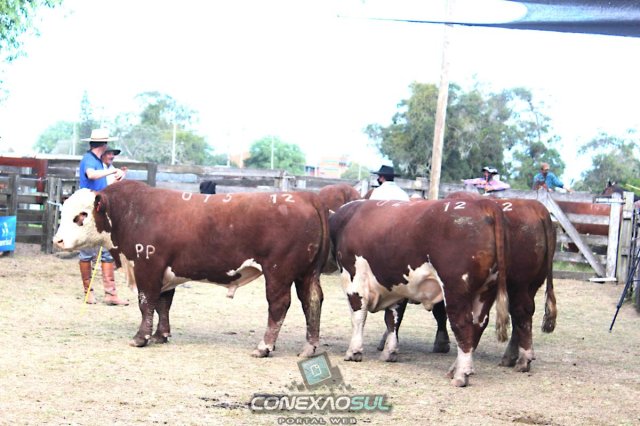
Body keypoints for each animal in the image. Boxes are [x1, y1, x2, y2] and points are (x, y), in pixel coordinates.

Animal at [53, 180, 329, 358]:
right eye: (64, 212)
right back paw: (309, 348)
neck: (129, 212)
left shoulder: (148, 267)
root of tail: (306, 198)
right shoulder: (165, 272)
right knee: (312, 301)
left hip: (279, 272)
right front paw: (160, 335)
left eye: (81, 216)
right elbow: (163, 304)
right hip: (307, 273)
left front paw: (140, 338)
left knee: (279, 305)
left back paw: (264, 347)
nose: (58, 240)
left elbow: (147, 303)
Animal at [329, 198, 510, 387]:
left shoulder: (354, 281)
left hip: (456, 290)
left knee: (463, 325)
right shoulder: (396, 287)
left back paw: (461, 374)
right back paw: (455, 369)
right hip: (486, 290)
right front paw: (389, 352)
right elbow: (393, 320)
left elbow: (358, 316)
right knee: (478, 325)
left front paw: (354, 351)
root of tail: (482, 203)